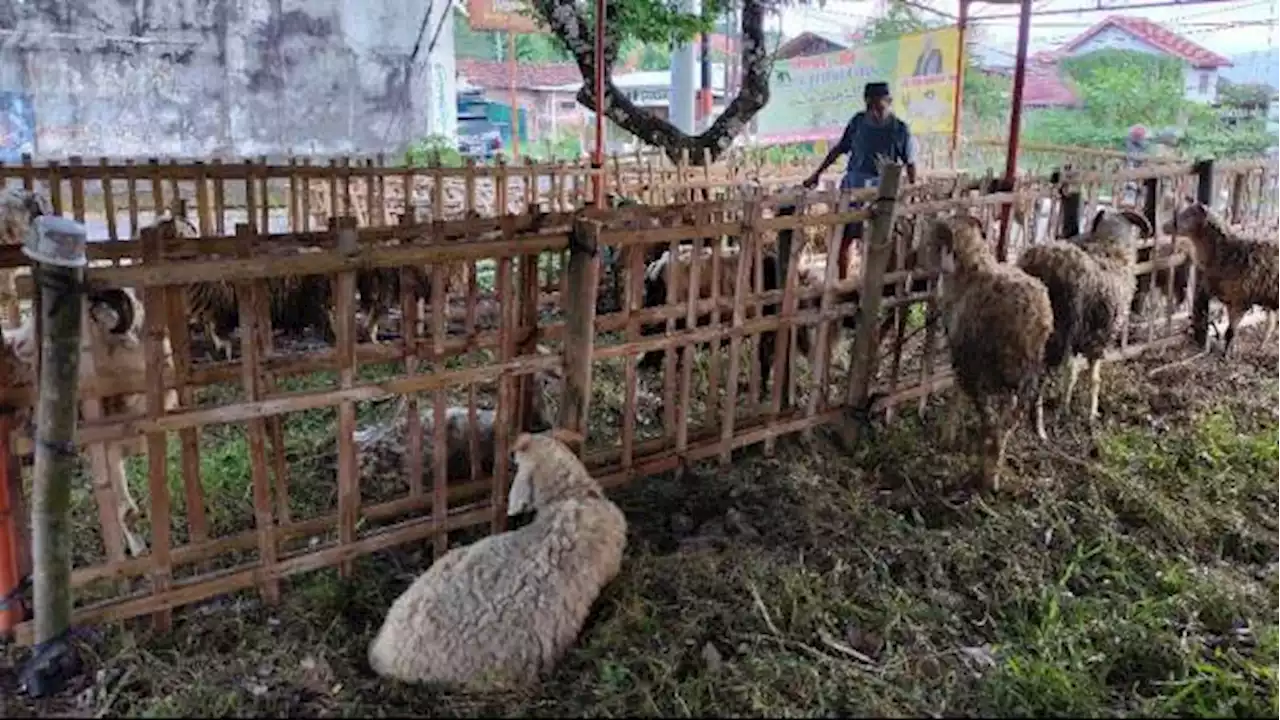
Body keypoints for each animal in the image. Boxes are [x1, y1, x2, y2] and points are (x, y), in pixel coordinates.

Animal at [926, 215, 1054, 489]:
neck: (974, 264)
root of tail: (1029, 319)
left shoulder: (961, 356)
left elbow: (957, 394)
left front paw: (947, 436)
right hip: (1025, 376)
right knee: (1007, 422)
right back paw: (993, 473)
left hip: (982, 369)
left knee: (992, 422)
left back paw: (985, 475)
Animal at [1018, 204, 1152, 435]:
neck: (1110, 245)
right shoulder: (1098, 337)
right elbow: (1091, 378)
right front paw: (1089, 414)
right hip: (1063, 330)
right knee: (1046, 376)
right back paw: (1043, 423)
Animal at [1167, 199, 1280, 351]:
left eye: (1189, 215)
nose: (1165, 226)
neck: (1226, 252)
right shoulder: (1229, 301)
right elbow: (1230, 332)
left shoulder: (1240, 301)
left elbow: (1230, 332)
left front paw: (1225, 354)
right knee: (1271, 322)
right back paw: (1262, 345)